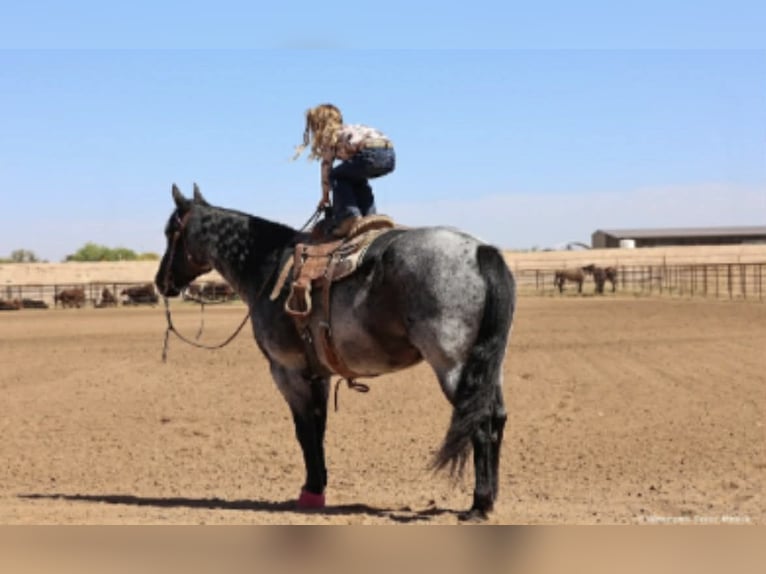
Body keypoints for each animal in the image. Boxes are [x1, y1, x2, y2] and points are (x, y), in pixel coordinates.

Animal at [155, 184, 516, 521]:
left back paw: (479, 504)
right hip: (488, 366)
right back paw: (493, 496)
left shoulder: (287, 372)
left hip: (452, 366)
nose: (161, 282)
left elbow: (303, 431)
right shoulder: (318, 375)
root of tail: (479, 250)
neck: (269, 267)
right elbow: (319, 427)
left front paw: (311, 491)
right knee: (497, 418)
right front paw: (319, 485)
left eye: (171, 232)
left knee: (479, 420)